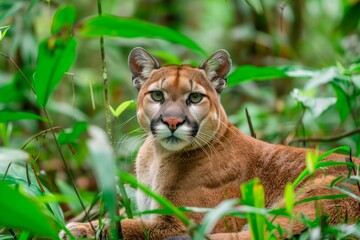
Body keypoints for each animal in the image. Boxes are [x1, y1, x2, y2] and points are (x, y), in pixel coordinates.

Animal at [62, 47, 360, 239]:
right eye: (157, 95)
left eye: (195, 97)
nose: (172, 121)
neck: (158, 156)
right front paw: (80, 227)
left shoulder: (181, 220)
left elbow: (126, 226)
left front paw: (79, 229)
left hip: (321, 191)